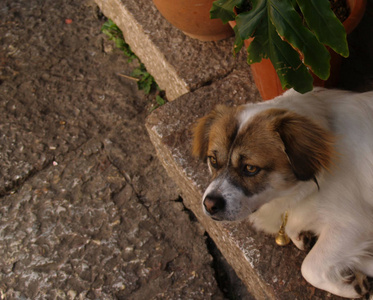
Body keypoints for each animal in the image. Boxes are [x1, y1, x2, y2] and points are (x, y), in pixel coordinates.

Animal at [193, 87, 372, 298]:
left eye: (250, 168)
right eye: (213, 160)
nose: (209, 204)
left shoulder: (353, 224)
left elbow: (309, 268)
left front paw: (351, 287)